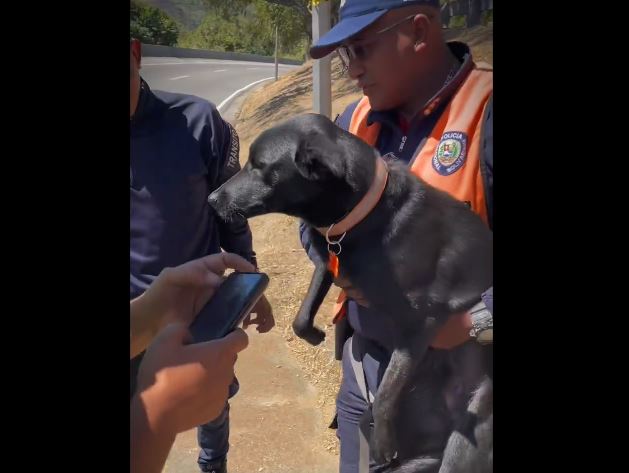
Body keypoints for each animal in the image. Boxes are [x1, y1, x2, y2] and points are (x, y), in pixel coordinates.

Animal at [209, 112, 494, 470]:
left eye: (259, 165)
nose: (211, 200)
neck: (363, 214)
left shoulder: (422, 320)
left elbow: (386, 389)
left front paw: (383, 442)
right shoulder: (328, 262)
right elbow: (302, 315)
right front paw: (313, 333)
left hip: (471, 425)